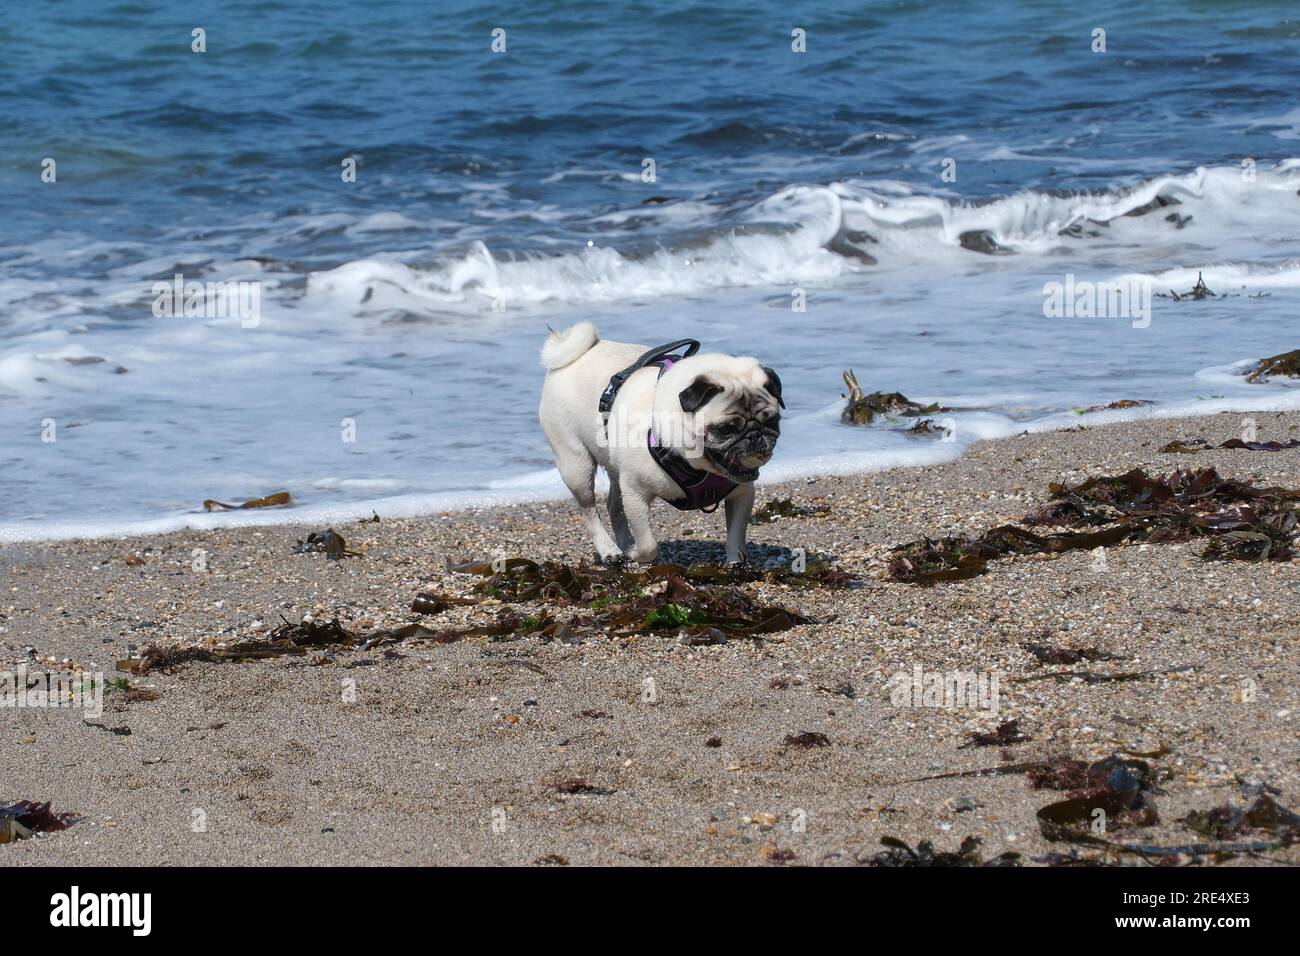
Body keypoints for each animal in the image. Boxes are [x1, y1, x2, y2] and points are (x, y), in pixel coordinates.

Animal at [538, 323, 780, 561]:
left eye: (773, 421)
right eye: (726, 429)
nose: (755, 435)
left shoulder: (742, 494)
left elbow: (736, 538)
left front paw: (735, 563)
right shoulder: (635, 493)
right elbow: (648, 545)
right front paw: (638, 553)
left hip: (615, 468)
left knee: (614, 506)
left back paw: (624, 544)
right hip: (577, 465)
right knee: (588, 510)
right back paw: (610, 550)